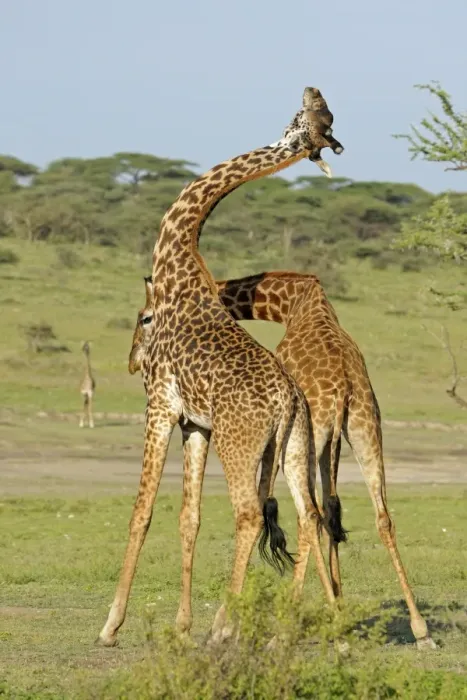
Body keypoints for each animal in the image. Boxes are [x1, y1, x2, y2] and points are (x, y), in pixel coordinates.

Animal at [97, 87, 344, 648]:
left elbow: (141, 512)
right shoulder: (195, 423)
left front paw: (111, 624)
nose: (312, 90)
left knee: (249, 514)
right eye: (320, 116)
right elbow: (188, 517)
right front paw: (180, 625)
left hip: (241, 445)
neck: (178, 259)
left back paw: (223, 627)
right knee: (308, 514)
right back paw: (306, 625)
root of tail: (286, 400)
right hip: (293, 445)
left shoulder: (160, 405)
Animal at [130, 272, 435, 650]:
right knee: (376, 516)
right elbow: (332, 512)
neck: (293, 301)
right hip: (364, 432)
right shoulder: (327, 445)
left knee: (307, 518)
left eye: (146, 317)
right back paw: (419, 629)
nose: (134, 361)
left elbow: (269, 505)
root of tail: (342, 391)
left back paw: (279, 633)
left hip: (309, 439)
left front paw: (226, 625)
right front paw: (338, 606)